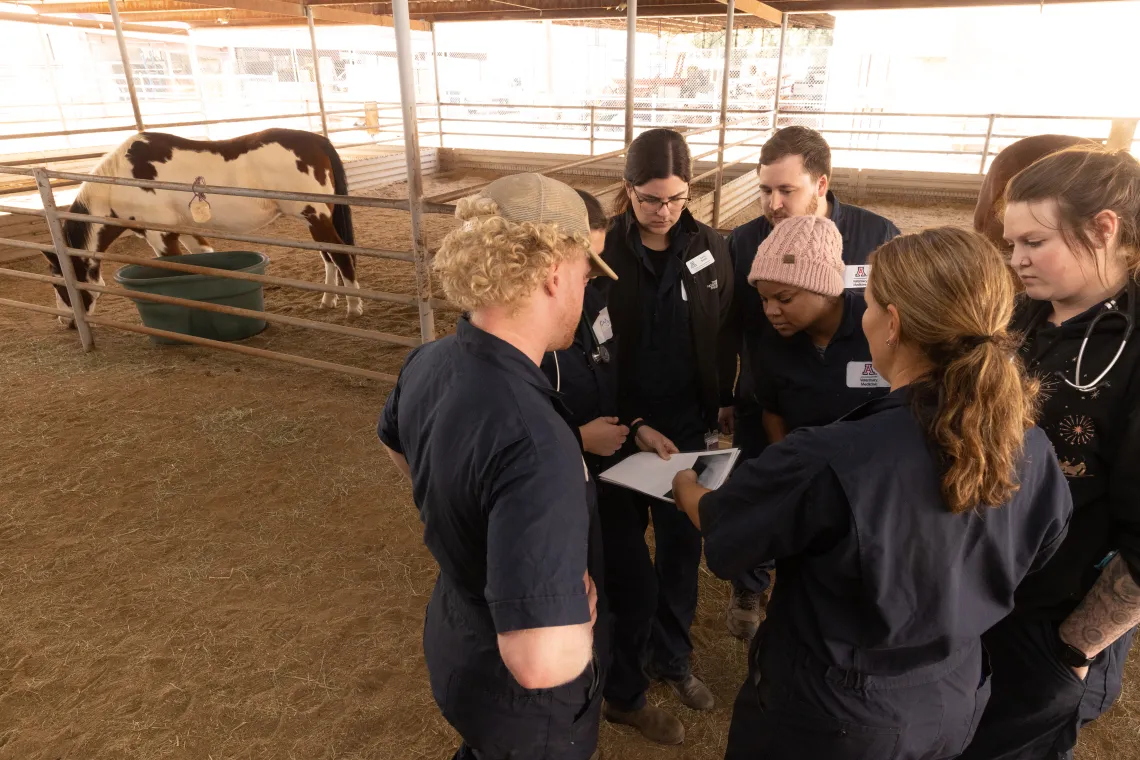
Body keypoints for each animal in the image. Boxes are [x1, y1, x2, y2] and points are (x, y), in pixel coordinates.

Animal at [46, 127, 357, 323]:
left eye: (60, 284)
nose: (66, 322)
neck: (120, 182)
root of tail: (318, 141)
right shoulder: (186, 232)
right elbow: (204, 262)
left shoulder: (161, 236)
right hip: (315, 219)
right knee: (328, 256)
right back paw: (329, 300)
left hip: (316, 217)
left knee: (340, 254)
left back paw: (354, 306)